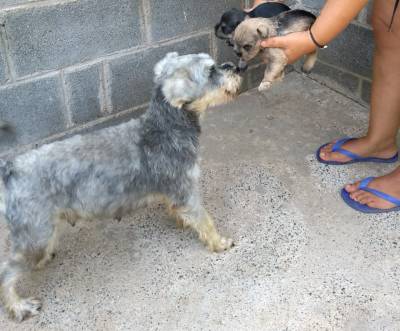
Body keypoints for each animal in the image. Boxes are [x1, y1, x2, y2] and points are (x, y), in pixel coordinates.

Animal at [0, 52, 242, 322]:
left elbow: (179, 211)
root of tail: (11, 168)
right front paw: (219, 242)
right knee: (6, 273)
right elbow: (205, 220)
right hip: (34, 236)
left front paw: (182, 221)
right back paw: (19, 306)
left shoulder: (176, 192)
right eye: (210, 71)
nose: (235, 66)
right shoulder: (187, 190)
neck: (166, 130)